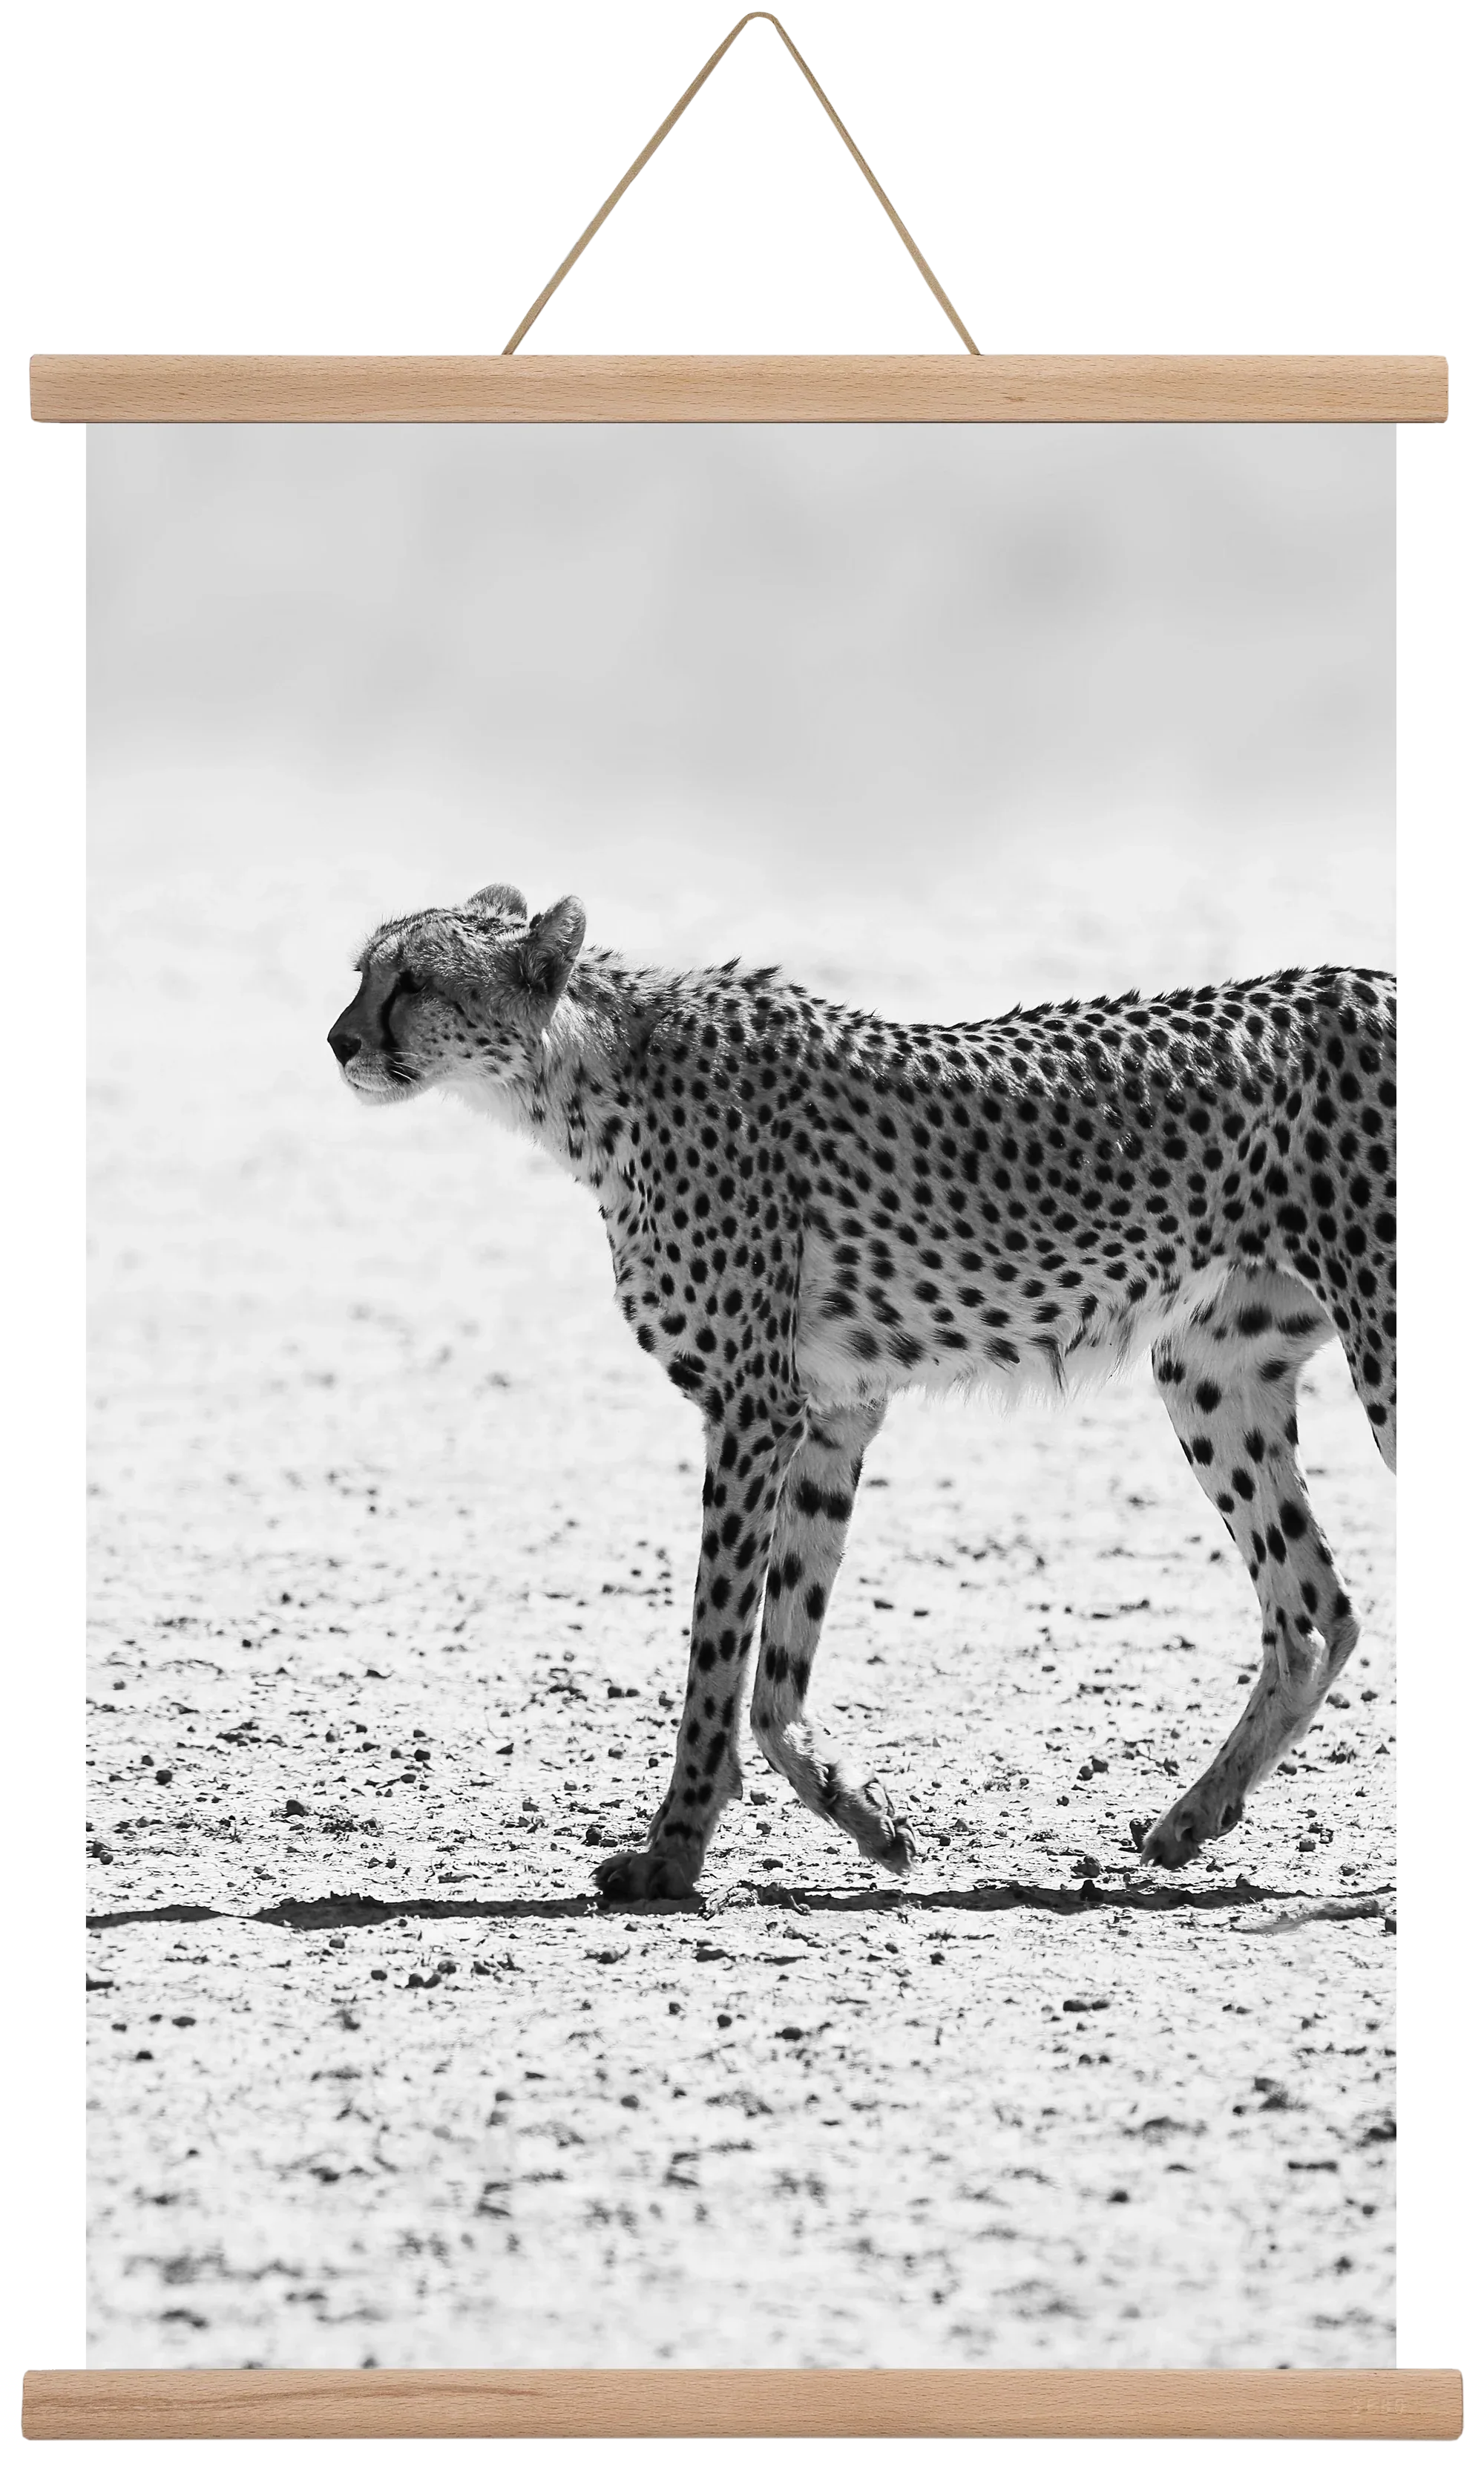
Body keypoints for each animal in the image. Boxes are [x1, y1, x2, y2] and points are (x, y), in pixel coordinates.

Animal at [328, 883, 1397, 1902]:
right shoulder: (832, 1412)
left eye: (413, 980)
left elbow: (717, 1651)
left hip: (1376, 1352)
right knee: (1313, 1611)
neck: (587, 1074)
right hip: (1209, 1371)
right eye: (363, 972)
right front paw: (866, 1817)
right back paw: (1191, 1818)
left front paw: (671, 1853)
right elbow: (777, 1668)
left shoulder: (752, 1408)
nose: (338, 1040)